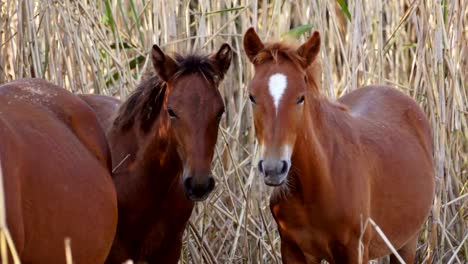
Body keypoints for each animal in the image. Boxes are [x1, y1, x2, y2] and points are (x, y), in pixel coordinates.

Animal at [243, 27, 436, 262]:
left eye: (300, 97)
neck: (315, 185)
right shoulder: (293, 251)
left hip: (406, 243)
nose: (273, 168)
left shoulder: (354, 251)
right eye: (252, 97)